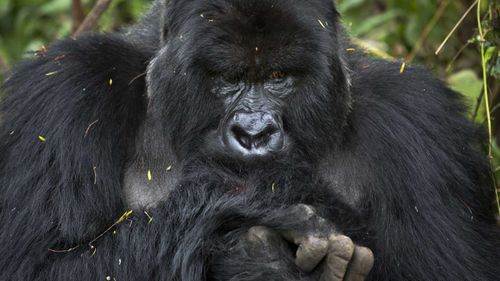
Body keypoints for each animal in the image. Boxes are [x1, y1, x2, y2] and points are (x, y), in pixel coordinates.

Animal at [0, 0, 500, 278]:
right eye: (228, 78)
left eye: (279, 77)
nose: (254, 134)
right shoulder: (63, 93)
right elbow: (35, 266)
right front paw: (253, 210)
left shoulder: (420, 122)